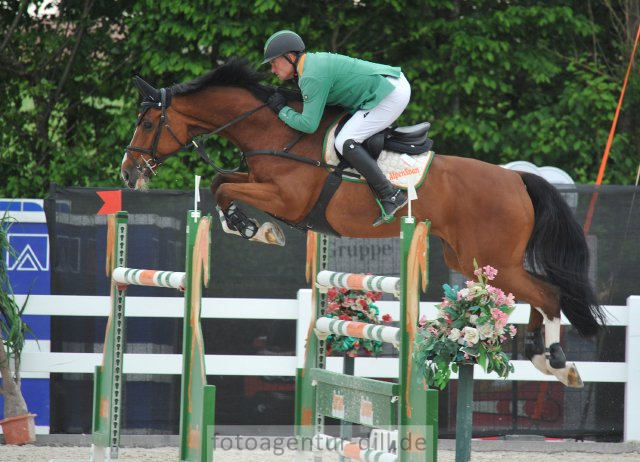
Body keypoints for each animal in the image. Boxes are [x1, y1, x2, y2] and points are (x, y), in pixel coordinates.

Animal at [122, 58, 608, 390]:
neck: (277, 134)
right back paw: (543, 358)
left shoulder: (287, 198)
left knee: (548, 295)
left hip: (492, 260)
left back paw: (556, 361)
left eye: (146, 122)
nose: (128, 174)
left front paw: (253, 228)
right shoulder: (261, 182)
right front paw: (252, 228)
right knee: (535, 294)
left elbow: (224, 189)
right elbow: (221, 181)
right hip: (472, 261)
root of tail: (517, 179)